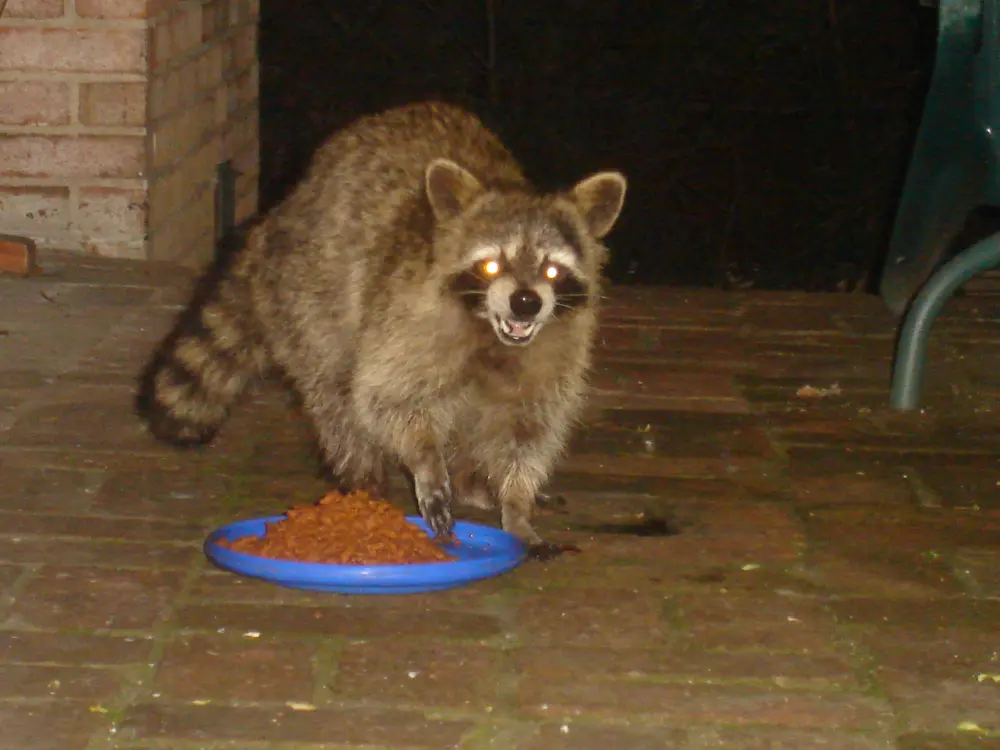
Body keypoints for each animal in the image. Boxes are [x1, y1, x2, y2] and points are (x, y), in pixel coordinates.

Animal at [137, 101, 624, 552]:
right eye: (491, 265)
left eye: (553, 272)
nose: (525, 303)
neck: (491, 335)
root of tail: (277, 217)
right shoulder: (406, 320)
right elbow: (388, 398)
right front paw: (427, 462)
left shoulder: (556, 349)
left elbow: (528, 428)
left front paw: (517, 501)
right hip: (310, 295)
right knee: (336, 391)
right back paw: (363, 478)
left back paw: (470, 480)